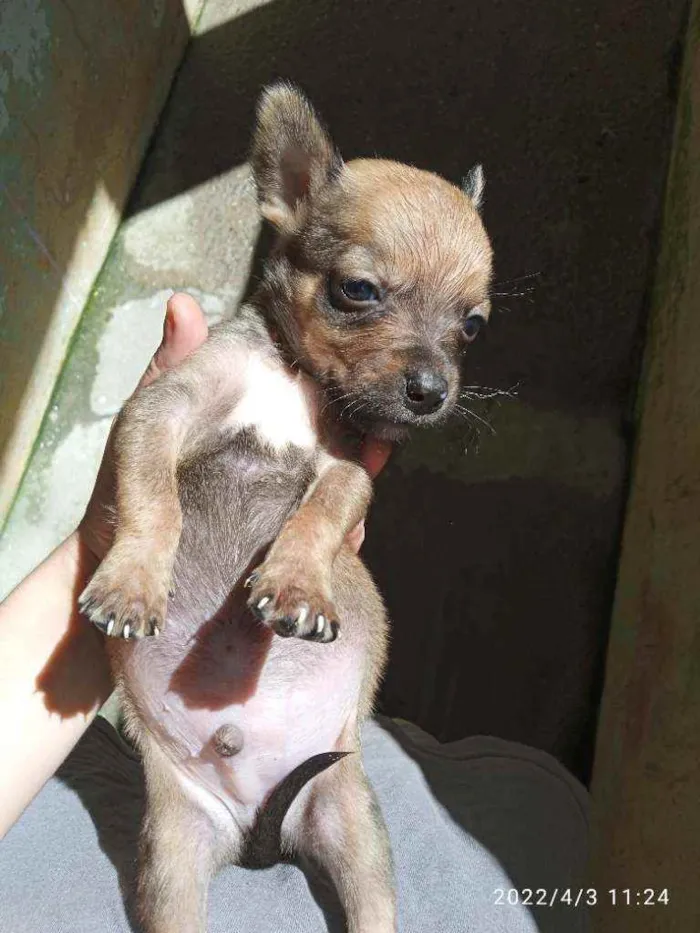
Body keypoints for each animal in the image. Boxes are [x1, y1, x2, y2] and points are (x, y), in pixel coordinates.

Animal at [79, 83, 494, 928]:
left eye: (472, 326)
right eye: (358, 290)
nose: (432, 390)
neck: (294, 374)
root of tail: (251, 831)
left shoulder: (347, 469)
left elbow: (320, 518)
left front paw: (298, 586)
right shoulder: (160, 411)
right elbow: (154, 502)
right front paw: (133, 582)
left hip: (349, 818)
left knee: (373, 903)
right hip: (172, 856)